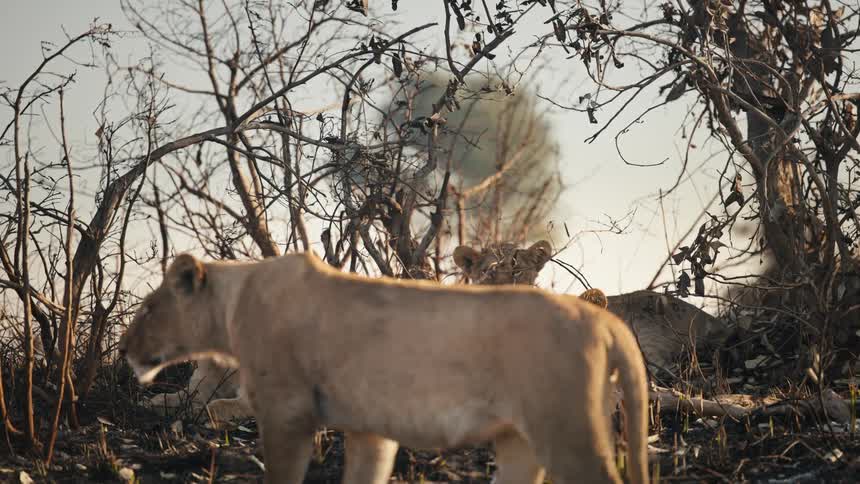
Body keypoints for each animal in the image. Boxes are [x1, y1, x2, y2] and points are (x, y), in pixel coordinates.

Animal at [119, 251, 650, 484]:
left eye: (147, 307)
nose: (123, 346)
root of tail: (603, 318)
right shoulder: (369, 428)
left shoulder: (287, 412)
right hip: (522, 440)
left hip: (568, 431)